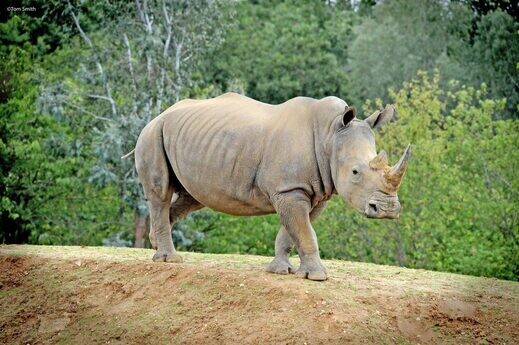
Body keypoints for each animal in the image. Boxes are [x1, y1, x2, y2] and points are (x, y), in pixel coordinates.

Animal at [132, 92, 412, 280]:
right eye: (355, 172)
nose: (388, 210)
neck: (330, 134)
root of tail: (158, 115)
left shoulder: (315, 193)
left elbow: (292, 231)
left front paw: (281, 270)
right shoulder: (290, 189)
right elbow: (304, 230)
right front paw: (317, 276)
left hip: (186, 137)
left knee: (191, 197)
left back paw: (155, 244)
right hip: (152, 134)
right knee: (161, 193)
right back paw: (169, 260)